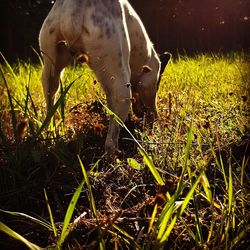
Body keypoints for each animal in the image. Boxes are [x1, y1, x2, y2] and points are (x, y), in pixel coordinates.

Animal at [39, 0, 170, 155]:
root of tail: (77, 4)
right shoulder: (148, 85)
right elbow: (152, 110)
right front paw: (154, 131)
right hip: (122, 87)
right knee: (110, 143)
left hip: (50, 72)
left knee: (50, 106)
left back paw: (51, 138)